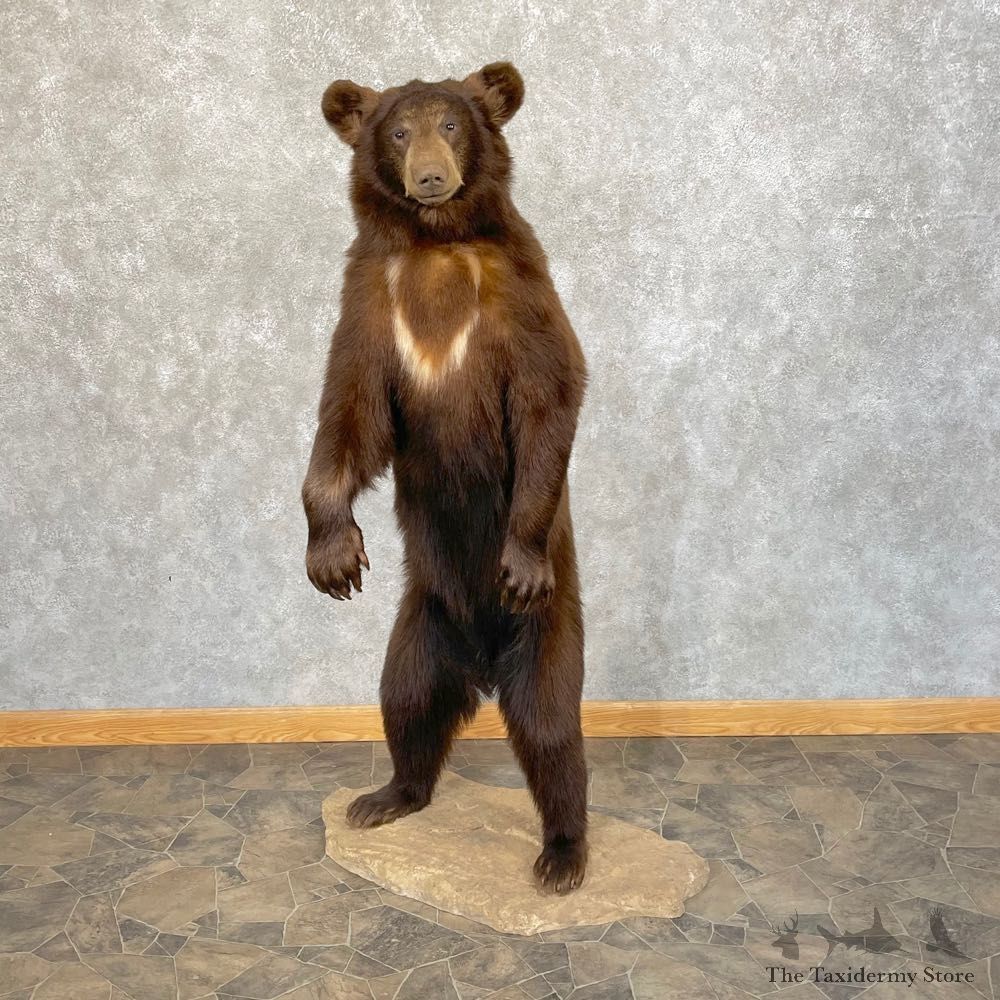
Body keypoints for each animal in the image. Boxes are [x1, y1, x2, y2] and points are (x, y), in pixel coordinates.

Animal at [301, 62, 589, 893]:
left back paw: (562, 855)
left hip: (546, 633)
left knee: (552, 732)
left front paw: (518, 561)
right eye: (400, 131)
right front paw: (333, 556)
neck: (435, 245)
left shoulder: (519, 296)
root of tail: (481, 666)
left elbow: (549, 401)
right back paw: (385, 797)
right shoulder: (370, 302)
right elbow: (350, 420)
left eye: (452, 125)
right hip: (419, 626)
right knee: (406, 703)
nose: (431, 175)